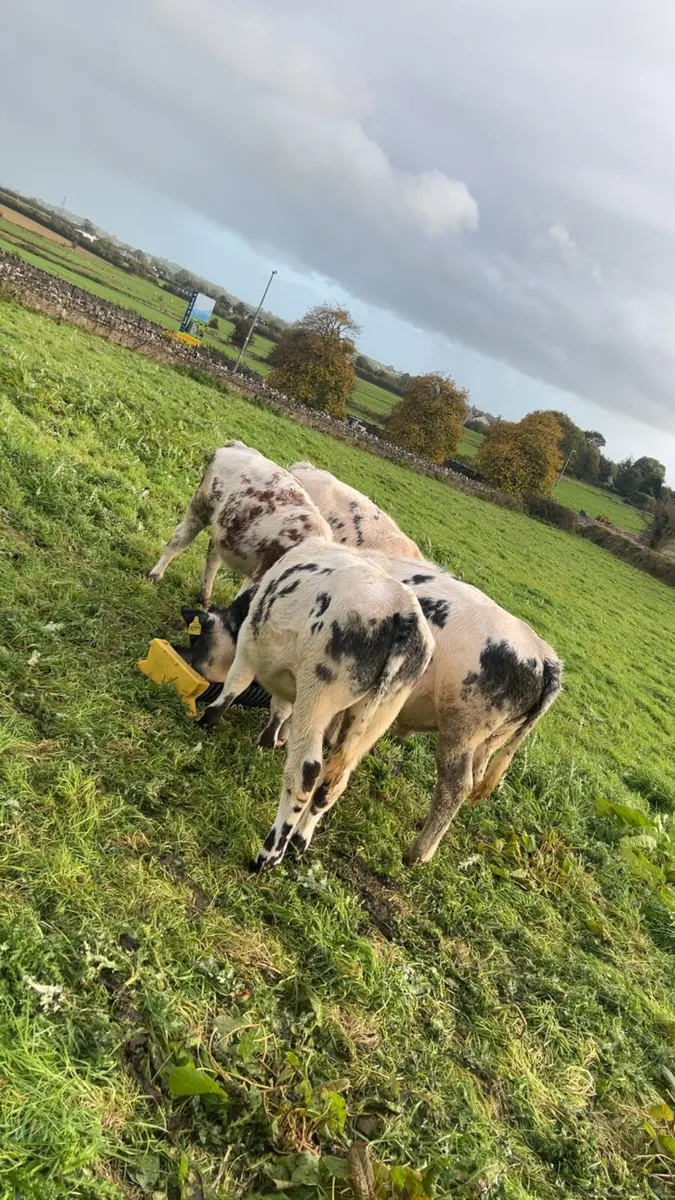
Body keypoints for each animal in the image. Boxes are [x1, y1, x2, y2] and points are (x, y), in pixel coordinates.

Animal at [149, 441, 332, 603]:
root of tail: (238, 445)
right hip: (200, 508)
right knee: (179, 541)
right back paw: (156, 575)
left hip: (224, 529)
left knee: (213, 557)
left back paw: (205, 597)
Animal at [179, 539, 435, 871]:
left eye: (200, 637)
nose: (193, 665)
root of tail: (403, 614)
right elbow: (280, 708)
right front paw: (269, 739)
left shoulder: (248, 647)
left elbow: (235, 686)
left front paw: (208, 720)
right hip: (376, 716)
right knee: (334, 782)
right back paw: (299, 841)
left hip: (318, 697)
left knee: (307, 773)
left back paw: (268, 855)